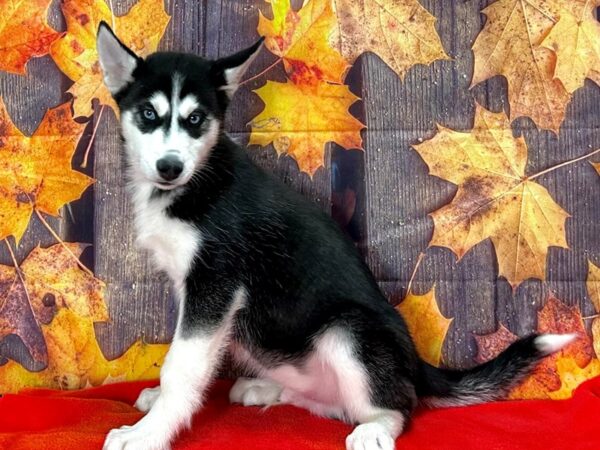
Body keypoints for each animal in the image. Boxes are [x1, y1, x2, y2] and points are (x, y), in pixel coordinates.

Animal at [97, 22, 576, 450]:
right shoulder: (194, 292)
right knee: (326, 401)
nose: (170, 167)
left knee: (396, 406)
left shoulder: (215, 284)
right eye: (148, 114)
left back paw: (375, 429)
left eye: (195, 119)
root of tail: (416, 363)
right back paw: (265, 389)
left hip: (349, 332)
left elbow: (181, 365)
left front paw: (148, 434)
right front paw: (157, 404)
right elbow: (182, 358)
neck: (195, 183)